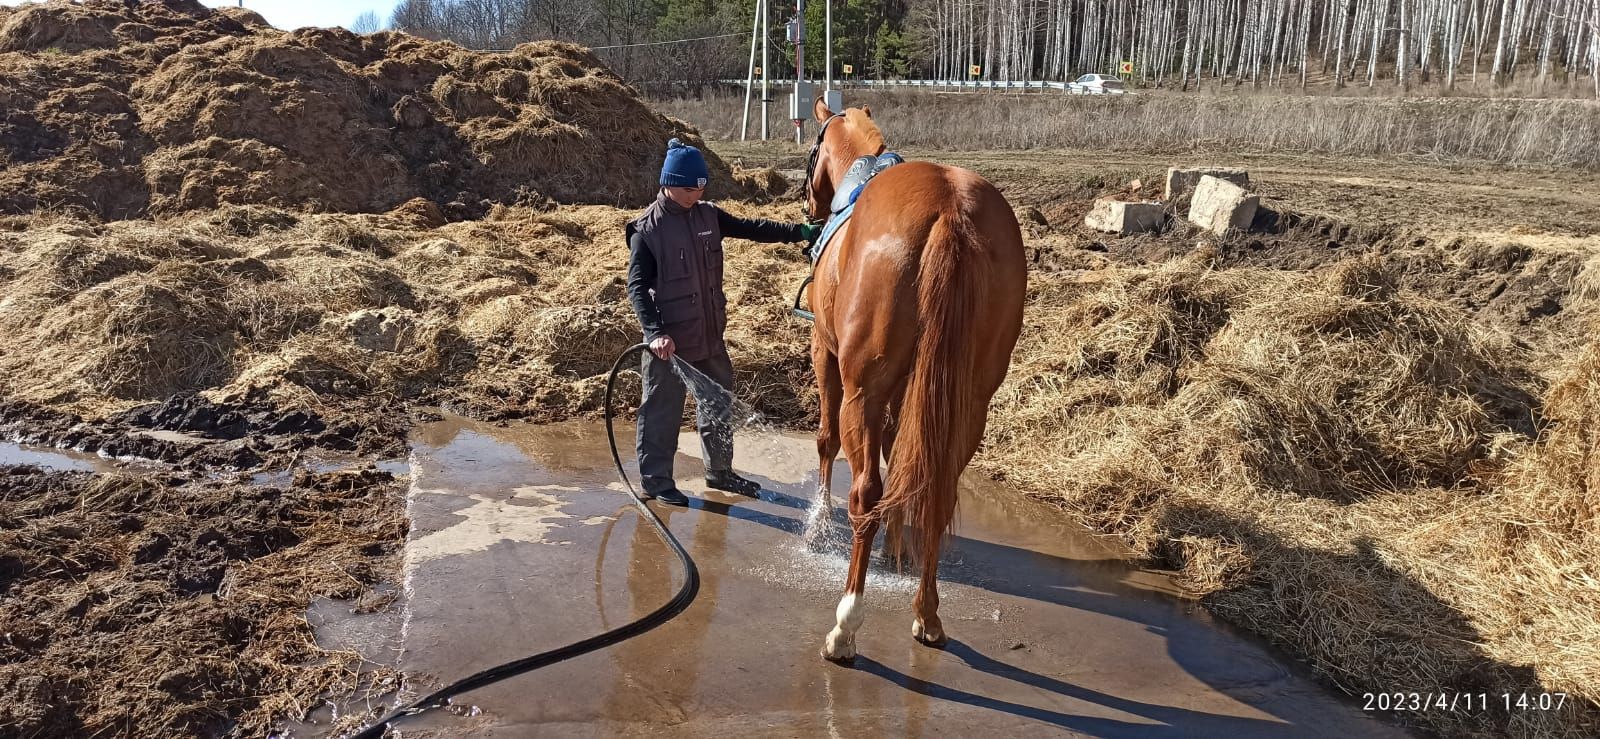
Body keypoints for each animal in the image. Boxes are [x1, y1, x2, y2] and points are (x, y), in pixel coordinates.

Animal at [806, 101, 1030, 662]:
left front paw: (818, 524)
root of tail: (950, 210)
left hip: (862, 390)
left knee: (865, 490)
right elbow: (902, 452)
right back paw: (927, 613)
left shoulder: (826, 353)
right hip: (969, 403)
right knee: (939, 491)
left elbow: (827, 442)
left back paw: (846, 624)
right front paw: (894, 542)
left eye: (813, 150)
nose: (810, 208)